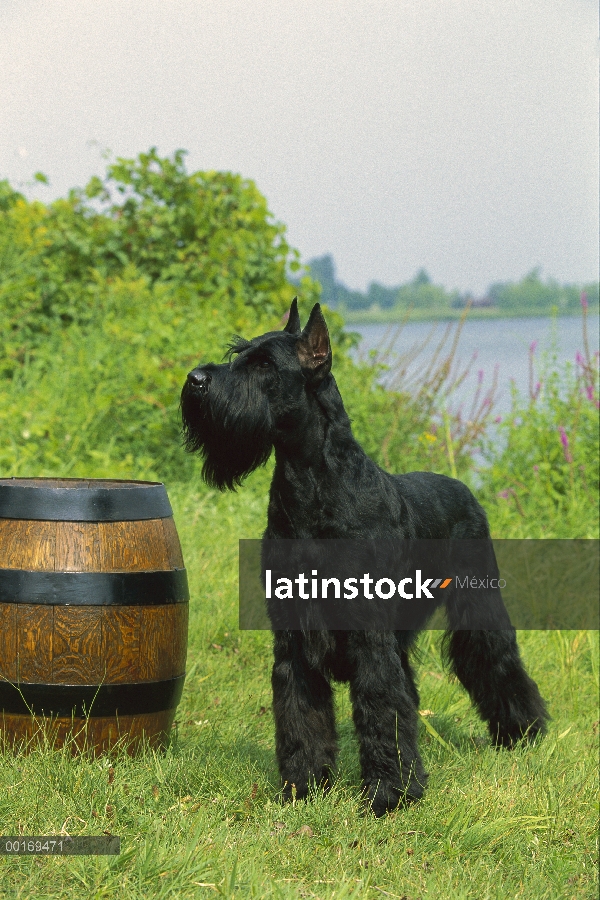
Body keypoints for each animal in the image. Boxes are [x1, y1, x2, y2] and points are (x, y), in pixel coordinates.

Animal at [179, 302, 548, 816]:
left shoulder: (368, 635)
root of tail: (464, 488)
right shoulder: (293, 636)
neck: (312, 482)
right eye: (239, 354)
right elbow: (301, 711)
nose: (195, 380)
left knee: (495, 660)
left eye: (265, 365)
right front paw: (304, 786)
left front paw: (389, 794)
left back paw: (522, 732)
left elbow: (378, 703)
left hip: (479, 606)